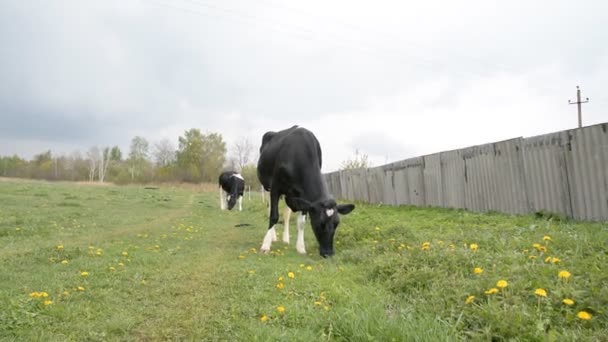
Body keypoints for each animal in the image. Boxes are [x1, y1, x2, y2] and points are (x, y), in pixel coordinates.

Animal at [258, 125, 356, 256]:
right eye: (320, 224)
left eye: (336, 224)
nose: (328, 253)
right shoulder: (275, 187)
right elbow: (274, 216)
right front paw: (265, 245)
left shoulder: (304, 197)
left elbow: (301, 222)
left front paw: (301, 248)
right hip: (267, 187)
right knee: (270, 210)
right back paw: (272, 237)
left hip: (289, 194)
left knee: (286, 214)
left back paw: (285, 238)